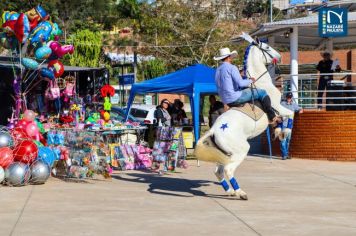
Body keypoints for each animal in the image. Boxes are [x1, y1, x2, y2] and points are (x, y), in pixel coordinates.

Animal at [195, 33, 292, 199]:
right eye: (267, 47)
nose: (279, 56)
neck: (261, 83)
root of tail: (214, 130)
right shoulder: (278, 107)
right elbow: (291, 114)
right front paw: (284, 133)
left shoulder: (279, 110)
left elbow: (284, 118)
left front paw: (279, 132)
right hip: (240, 150)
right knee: (228, 170)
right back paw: (240, 193)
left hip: (226, 154)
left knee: (218, 172)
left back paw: (230, 191)